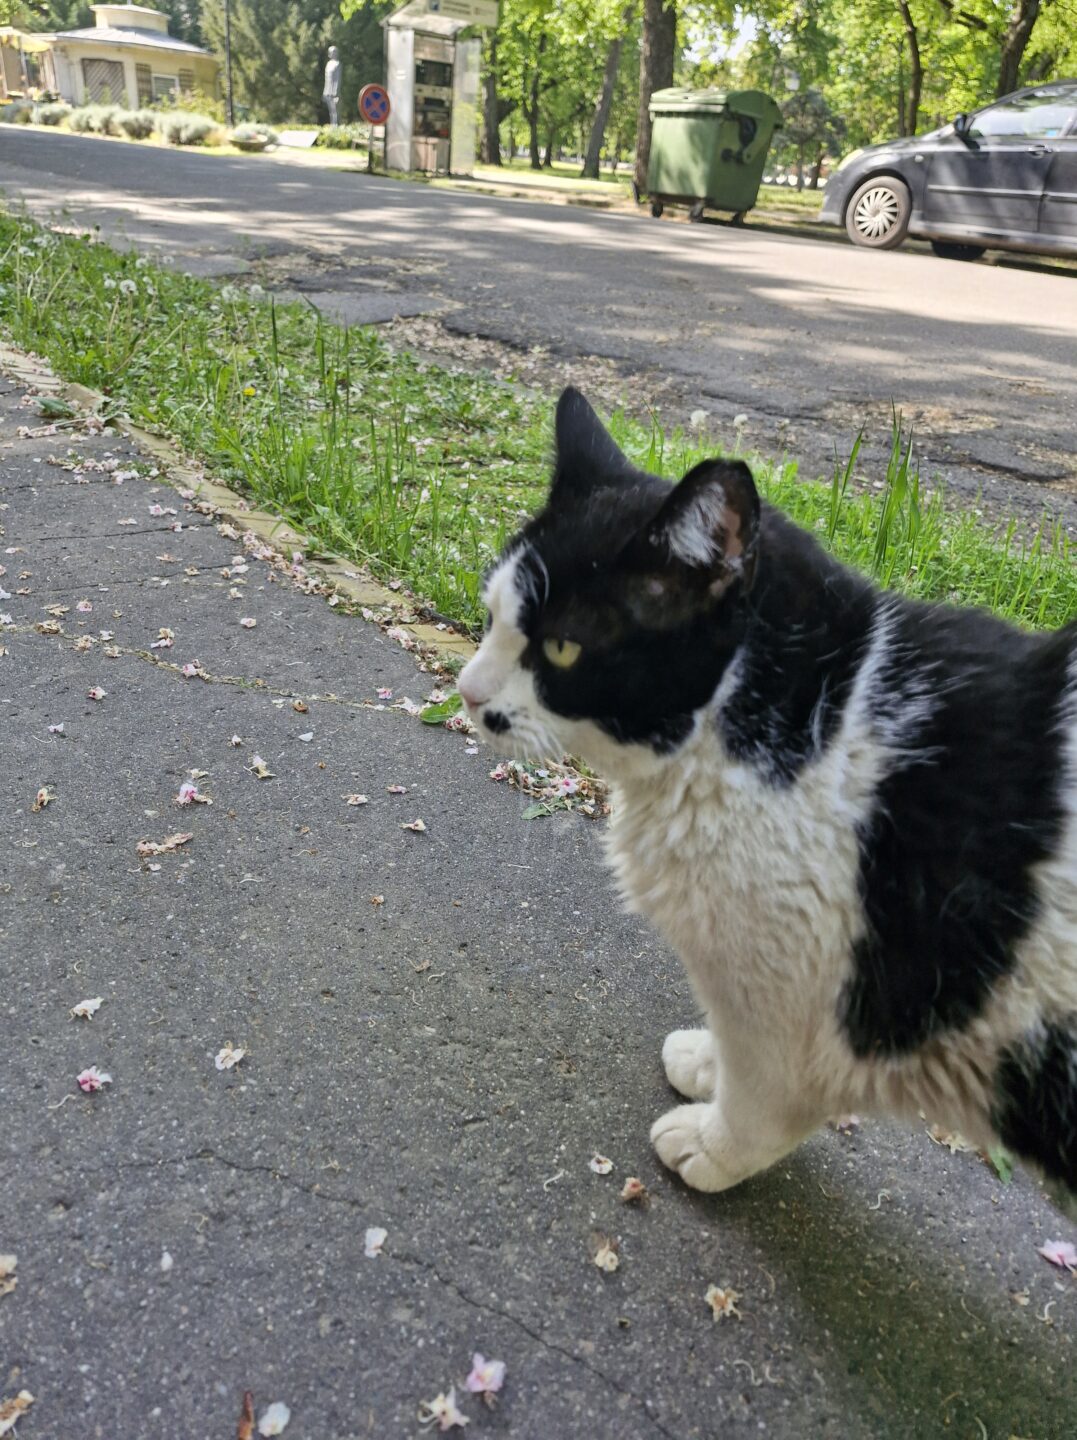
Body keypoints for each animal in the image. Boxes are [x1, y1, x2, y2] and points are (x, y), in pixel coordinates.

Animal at [457, 388, 1077, 1209]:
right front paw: (706, 1063)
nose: (467, 693)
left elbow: (765, 1091)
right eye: (492, 615)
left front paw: (713, 1145)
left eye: (562, 647)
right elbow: (732, 1046)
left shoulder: (795, 992)